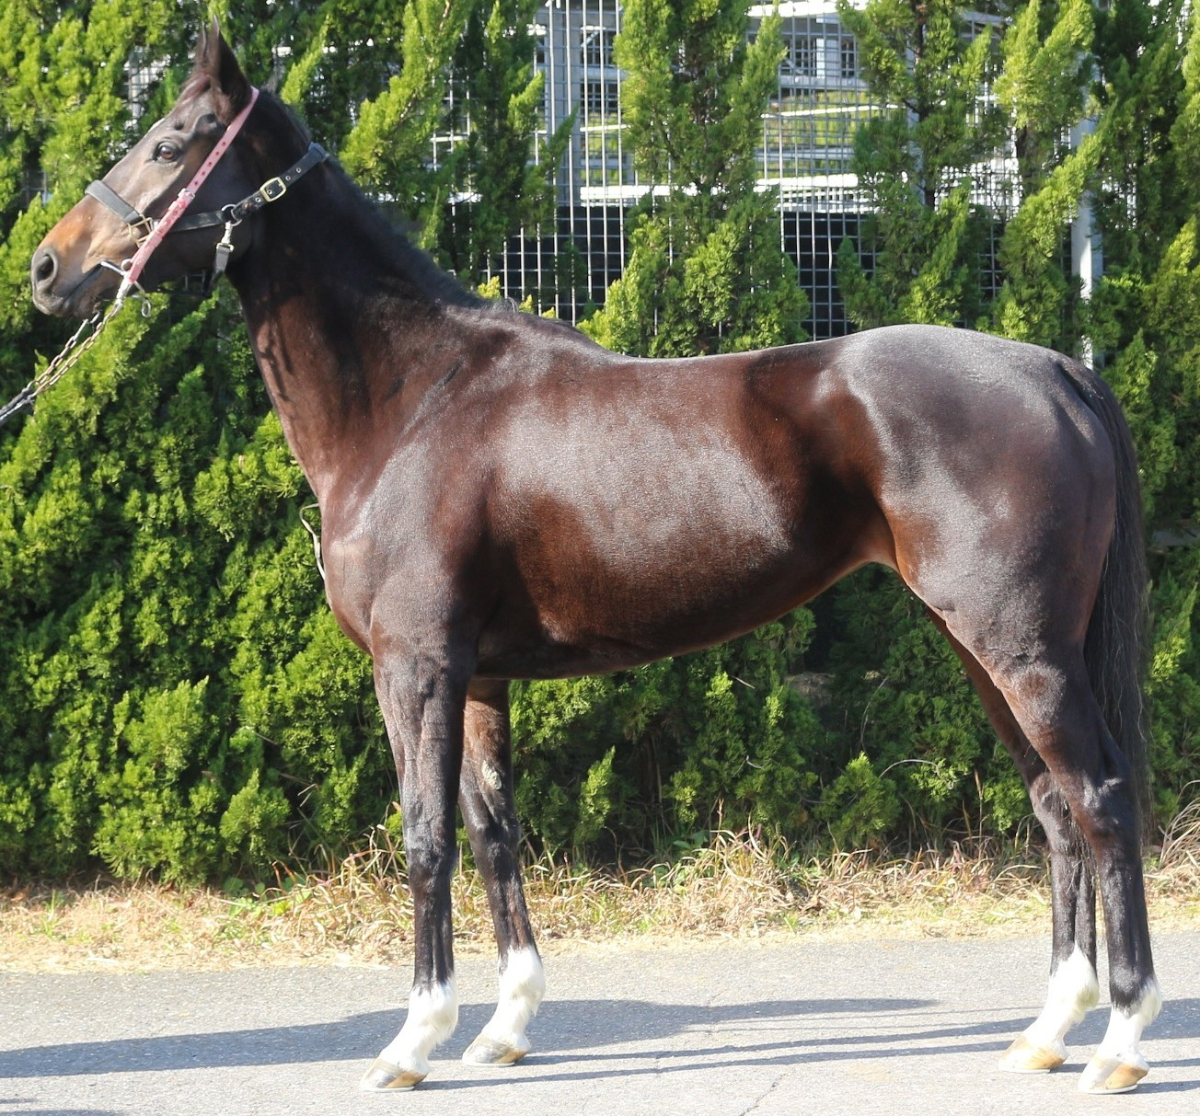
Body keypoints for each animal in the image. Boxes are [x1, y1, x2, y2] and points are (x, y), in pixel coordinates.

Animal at [30, 25, 1161, 1096]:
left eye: (170, 142)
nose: (46, 267)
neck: (414, 403)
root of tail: (1053, 367)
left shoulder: (417, 667)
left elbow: (426, 836)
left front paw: (414, 1040)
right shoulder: (479, 679)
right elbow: (494, 831)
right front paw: (506, 1026)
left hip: (1023, 652)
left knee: (1101, 799)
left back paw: (1121, 1039)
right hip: (982, 650)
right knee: (1055, 809)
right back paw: (1048, 1032)